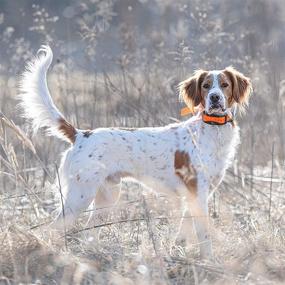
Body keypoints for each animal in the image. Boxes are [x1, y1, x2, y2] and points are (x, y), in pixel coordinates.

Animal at [18, 46, 252, 258]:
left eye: (224, 85)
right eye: (206, 86)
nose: (214, 98)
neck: (213, 130)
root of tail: (81, 134)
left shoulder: (197, 195)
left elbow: (184, 230)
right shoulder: (198, 193)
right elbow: (204, 234)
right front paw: (209, 260)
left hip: (107, 196)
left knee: (88, 232)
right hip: (79, 195)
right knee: (52, 228)